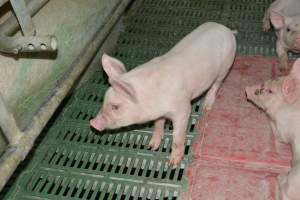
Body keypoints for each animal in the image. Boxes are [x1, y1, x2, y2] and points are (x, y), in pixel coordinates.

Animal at [90, 22, 236, 167]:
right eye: (104, 100)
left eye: (115, 107)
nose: (93, 123)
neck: (151, 99)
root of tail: (227, 30)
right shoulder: (159, 113)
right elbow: (158, 124)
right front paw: (151, 146)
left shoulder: (182, 109)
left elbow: (177, 137)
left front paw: (173, 164)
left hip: (225, 67)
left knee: (216, 84)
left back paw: (206, 107)